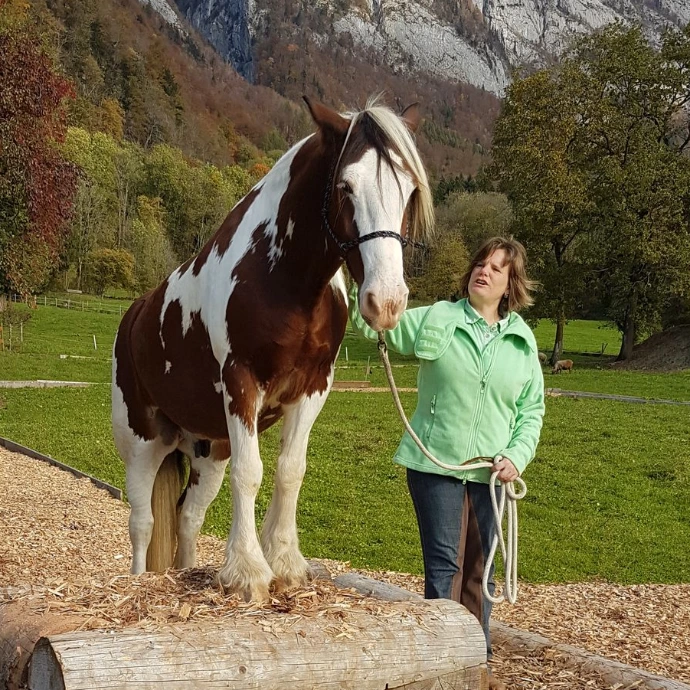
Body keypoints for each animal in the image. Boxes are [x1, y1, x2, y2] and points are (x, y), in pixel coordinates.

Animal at [111, 96, 433, 601]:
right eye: (345, 186)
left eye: (409, 190)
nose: (386, 302)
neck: (283, 278)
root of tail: (135, 315)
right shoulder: (241, 384)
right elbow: (251, 473)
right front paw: (248, 571)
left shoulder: (313, 388)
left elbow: (289, 469)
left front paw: (284, 562)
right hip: (142, 443)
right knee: (142, 521)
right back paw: (141, 580)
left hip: (207, 449)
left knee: (187, 516)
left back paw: (186, 571)